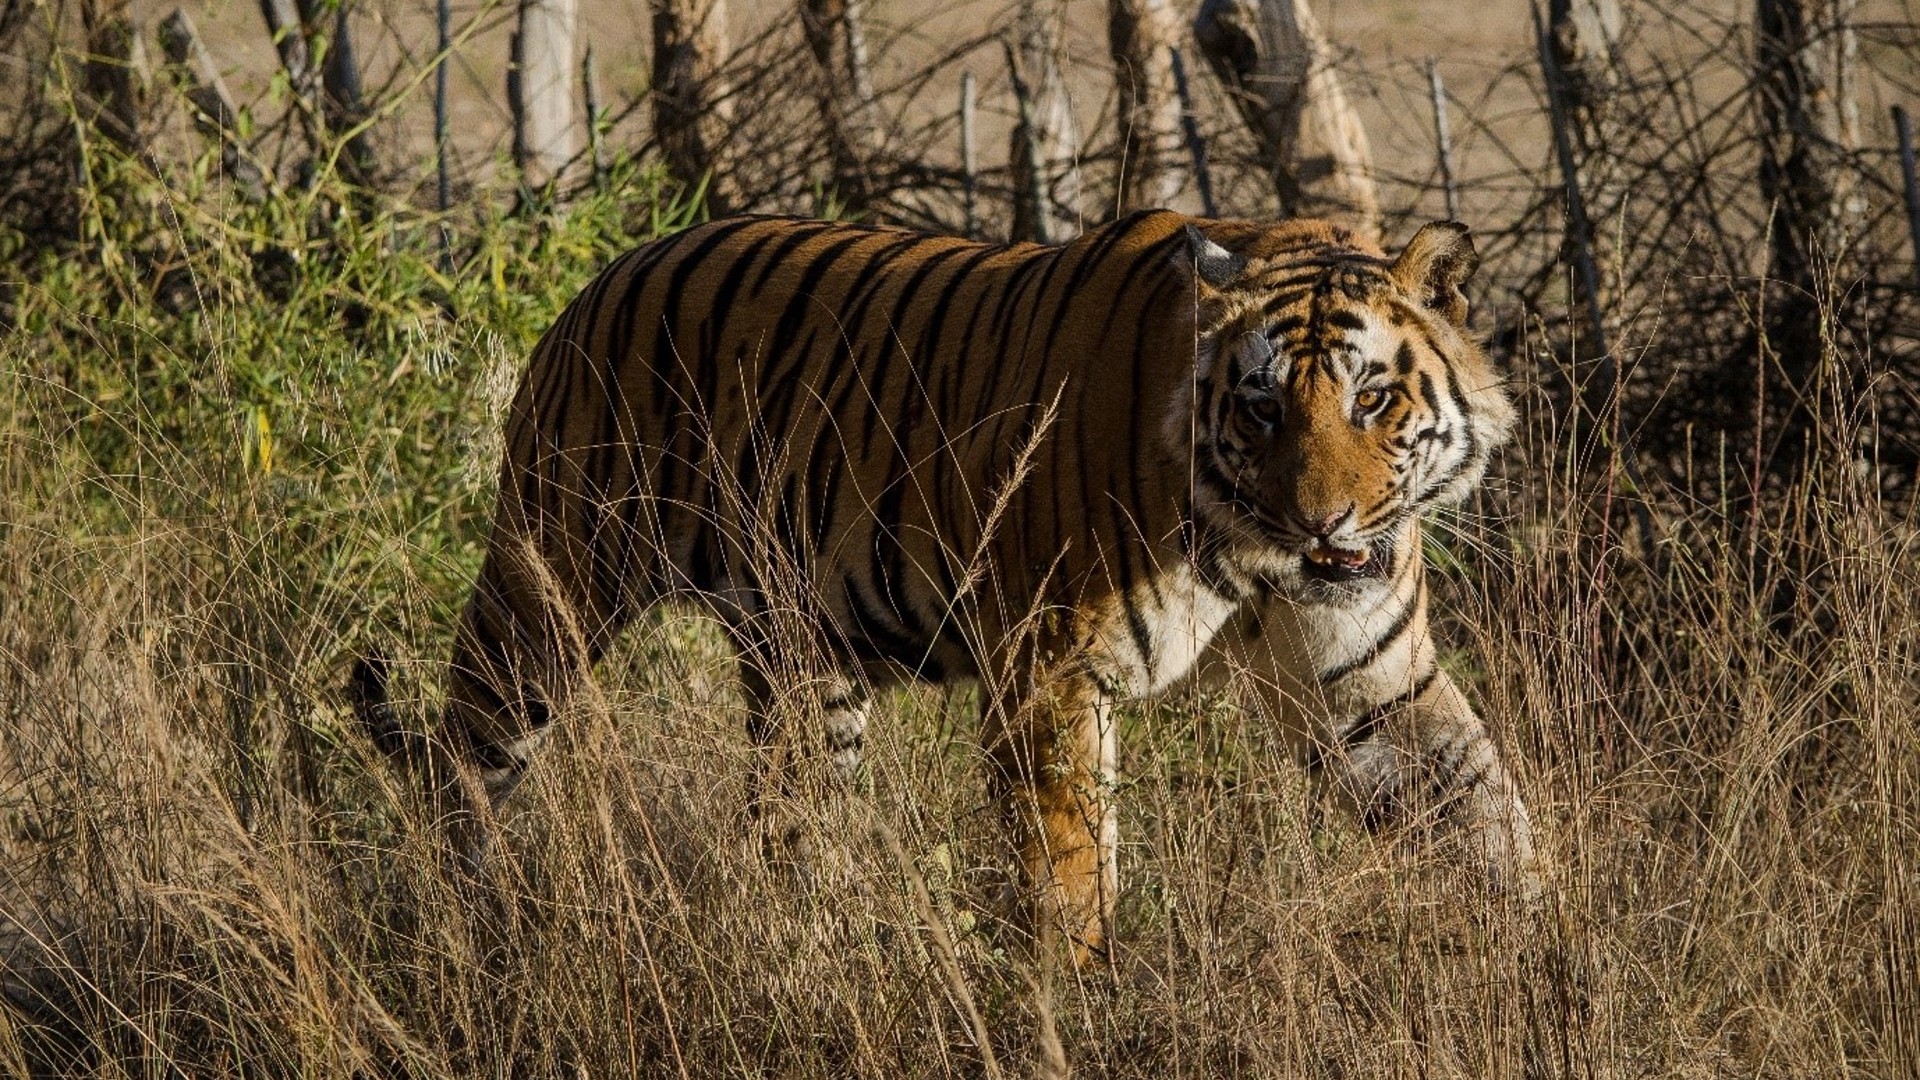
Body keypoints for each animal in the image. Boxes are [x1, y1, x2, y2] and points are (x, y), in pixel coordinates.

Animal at [349, 208, 1543, 957]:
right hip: (546, 590)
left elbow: (1488, 818)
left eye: (1372, 398)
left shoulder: (1375, 683)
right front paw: (1074, 1007)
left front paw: (1546, 968)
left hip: (805, 671)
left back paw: (810, 956)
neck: (1254, 555)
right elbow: (1069, 876)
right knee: (463, 766)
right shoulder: (1050, 672)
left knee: (786, 833)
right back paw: (460, 929)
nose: (1319, 522)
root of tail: (603, 274)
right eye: (1258, 408)